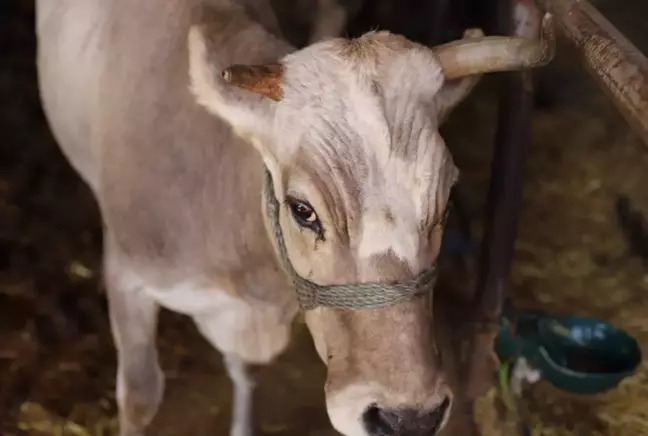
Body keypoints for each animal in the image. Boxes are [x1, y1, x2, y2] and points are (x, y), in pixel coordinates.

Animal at [34, 0, 552, 434]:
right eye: (302, 211)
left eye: (446, 201)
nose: (408, 418)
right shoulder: (127, 275)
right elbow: (140, 397)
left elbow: (245, 370)